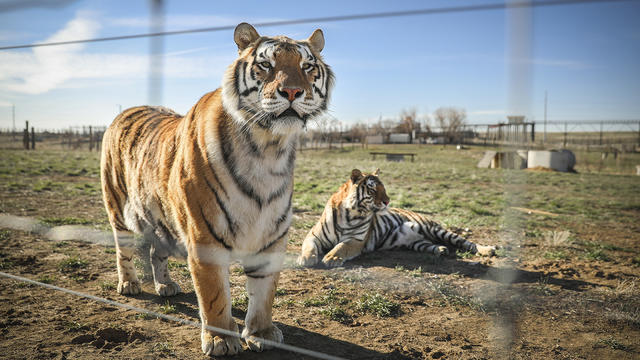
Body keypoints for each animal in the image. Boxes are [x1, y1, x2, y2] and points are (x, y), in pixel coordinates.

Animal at [100, 23, 336, 356]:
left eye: (307, 66)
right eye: (267, 64)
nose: (291, 92)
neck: (268, 148)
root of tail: (126, 110)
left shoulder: (272, 236)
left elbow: (264, 293)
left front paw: (261, 333)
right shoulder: (205, 236)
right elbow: (214, 295)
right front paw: (221, 339)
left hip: (161, 218)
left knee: (156, 251)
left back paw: (165, 286)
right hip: (117, 206)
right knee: (124, 249)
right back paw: (129, 284)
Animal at [298, 169, 498, 268]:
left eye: (384, 188)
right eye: (373, 189)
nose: (387, 201)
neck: (350, 213)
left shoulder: (356, 240)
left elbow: (341, 247)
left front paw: (331, 258)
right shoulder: (314, 236)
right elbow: (309, 246)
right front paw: (305, 259)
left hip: (436, 229)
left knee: (466, 242)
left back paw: (487, 250)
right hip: (417, 242)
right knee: (429, 244)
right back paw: (441, 250)